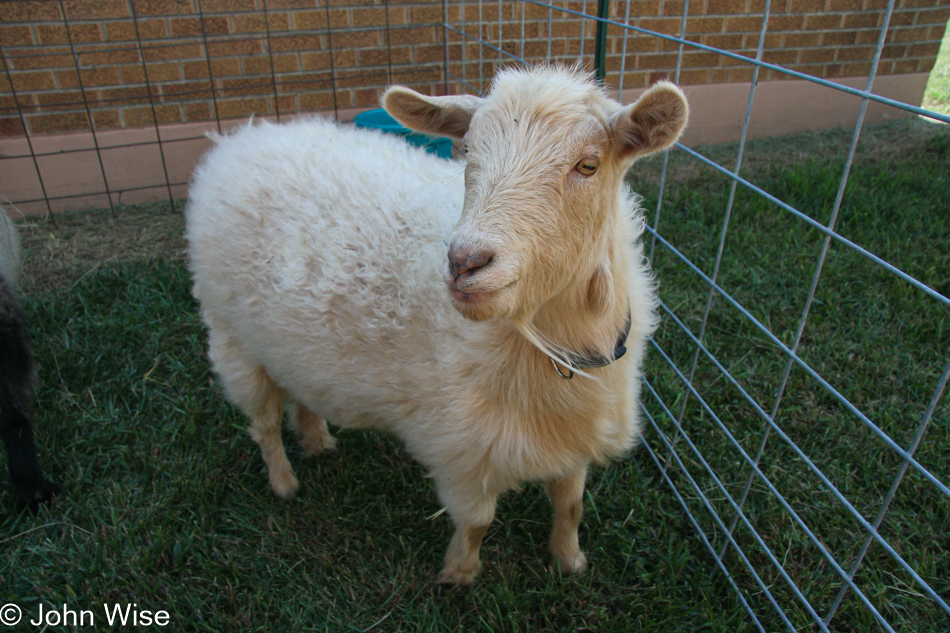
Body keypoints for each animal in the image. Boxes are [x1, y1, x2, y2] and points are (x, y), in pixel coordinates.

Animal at [186, 66, 688, 584]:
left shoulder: (575, 436)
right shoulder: (462, 449)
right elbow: (477, 520)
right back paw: (284, 482)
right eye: (466, 152)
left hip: (291, 347)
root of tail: (241, 137)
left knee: (300, 394)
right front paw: (459, 574)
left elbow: (570, 505)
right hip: (231, 337)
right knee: (263, 424)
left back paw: (317, 440)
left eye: (588, 165)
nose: (465, 261)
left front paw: (570, 562)